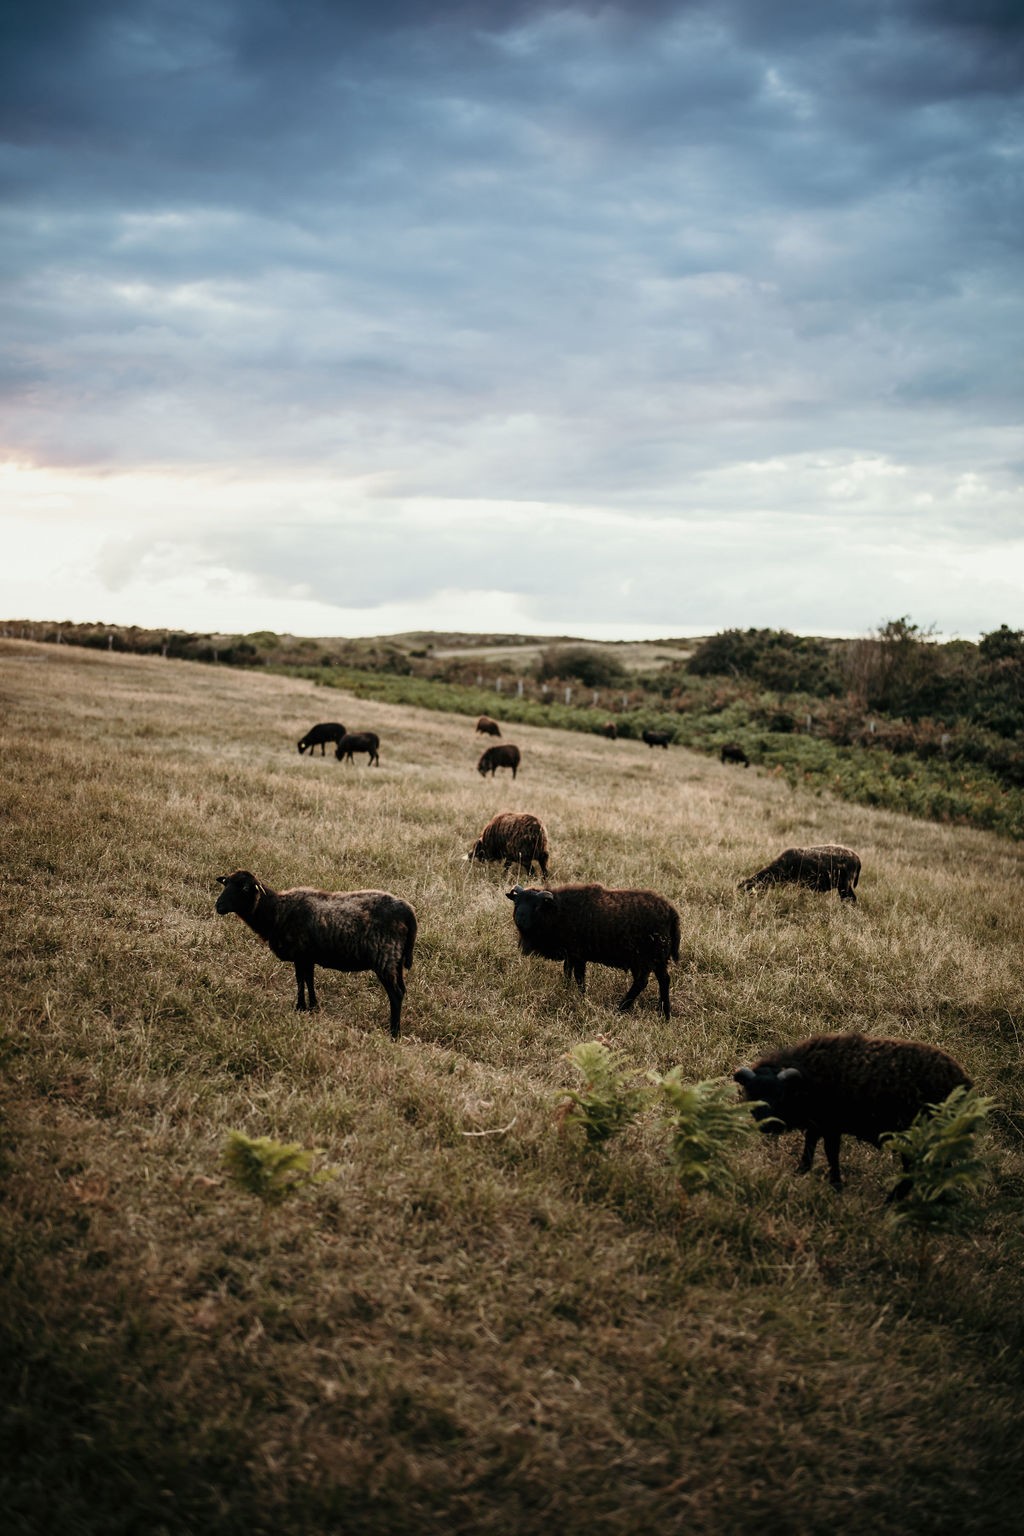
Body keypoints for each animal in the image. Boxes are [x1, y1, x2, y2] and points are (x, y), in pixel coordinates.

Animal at [214, 872, 417, 1038]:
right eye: (226, 884)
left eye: (245, 887)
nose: (218, 906)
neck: (276, 911)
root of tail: (407, 910)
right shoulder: (308, 956)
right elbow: (309, 980)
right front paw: (313, 1007)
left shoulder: (300, 954)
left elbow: (300, 979)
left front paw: (300, 1007)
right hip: (395, 961)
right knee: (402, 990)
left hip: (385, 958)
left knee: (396, 994)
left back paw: (394, 1034)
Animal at [506, 878, 681, 1019]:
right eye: (516, 902)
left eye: (537, 906)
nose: (519, 919)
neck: (558, 911)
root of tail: (671, 912)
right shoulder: (570, 955)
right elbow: (567, 973)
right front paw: (566, 991)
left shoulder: (578, 955)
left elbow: (579, 978)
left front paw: (581, 998)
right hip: (654, 959)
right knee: (661, 980)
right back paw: (664, 1014)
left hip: (648, 957)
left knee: (644, 981)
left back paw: (622, 1009)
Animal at [733, 1038, 976, 1191]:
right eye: (751, 1092)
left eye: (779, 1094)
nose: (766, 1125)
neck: (810, 1078)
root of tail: (964, 1085)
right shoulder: (818, 1123)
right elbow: (810, 1145)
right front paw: (801, 1171)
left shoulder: (831, 1125)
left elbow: (831, 1153)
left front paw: (836, 1185)